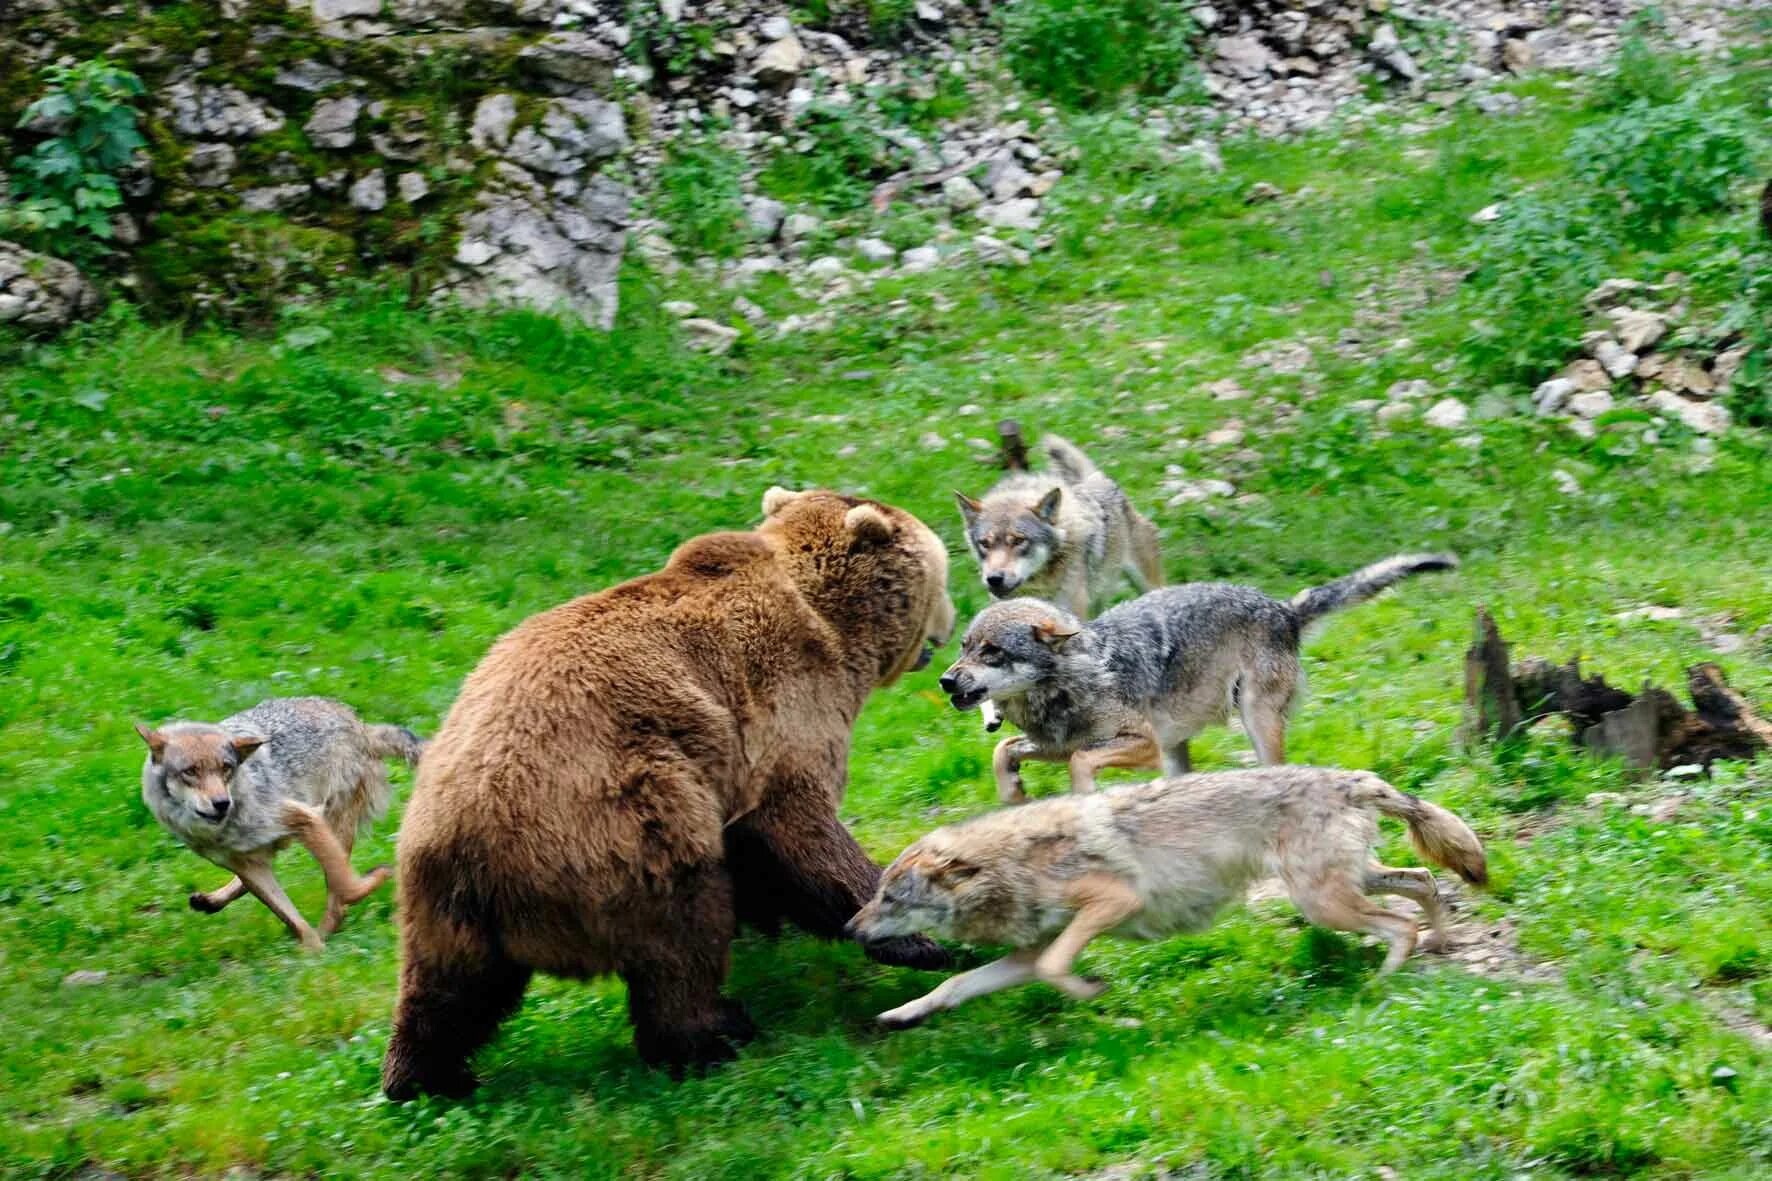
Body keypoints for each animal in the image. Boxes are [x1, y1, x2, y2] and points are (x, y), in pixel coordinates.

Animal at [137, 695, 418, 950]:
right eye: (190, 772)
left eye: (226, 768)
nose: (222, 803)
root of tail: (359, 724)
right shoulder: (245, 865)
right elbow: (291, 917)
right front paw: (313, 950)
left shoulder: (306, 819)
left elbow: (347, 886)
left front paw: (380, 874)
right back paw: (211, 901)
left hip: (333, 826)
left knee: (338, 897)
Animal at [377, 485, 956, 1092]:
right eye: (943, 576)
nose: (952, 622)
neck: (836, 629)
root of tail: (476, 848)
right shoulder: (780, 711)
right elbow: (803, 829)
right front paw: (918, 940)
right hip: (628, 815)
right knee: (680, 935)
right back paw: (716, 1035)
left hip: (437, 893)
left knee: (450, 990)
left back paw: (424, 1078)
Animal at [850, 762, 1488, 1021]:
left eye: (892, 899)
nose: (848, 928)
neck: (1010, 865)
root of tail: (1348, 778)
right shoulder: (1025, 955)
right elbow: (954, 985)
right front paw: (899, 1014)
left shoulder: (1113, 903)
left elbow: (1058, 969)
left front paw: (1095, 992)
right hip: (1343, 887)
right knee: (1427, 884)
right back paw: (1439, 945)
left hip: (1322, 904)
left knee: (1400, 923)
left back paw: (1382, 982)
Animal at [935, 553, 1460, 801]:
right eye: (964, 648)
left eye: (992, 652)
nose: (945, 681)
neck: (1072, 681)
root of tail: (1283, 608)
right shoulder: (1053, 744)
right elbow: (1005, 749)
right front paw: (1012, 794)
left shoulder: (1141, 746)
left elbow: (1080, 762)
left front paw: (1082, 798)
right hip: (1178, 750)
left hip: (1250, 722)